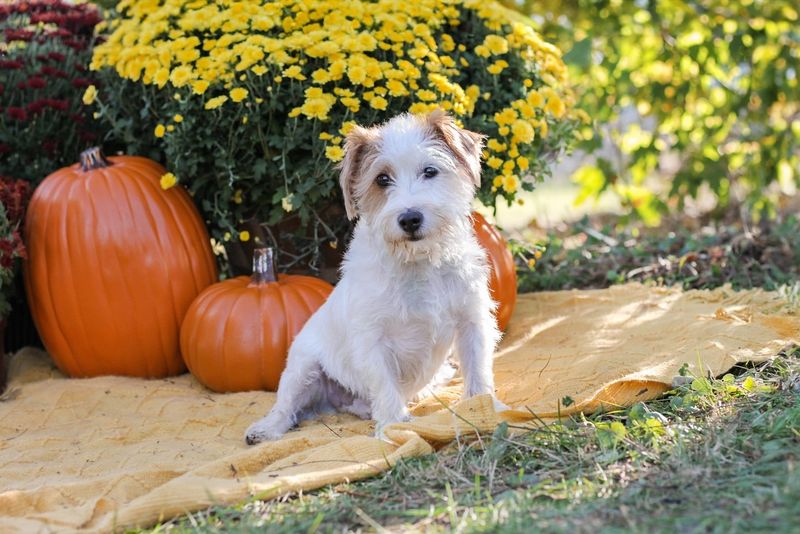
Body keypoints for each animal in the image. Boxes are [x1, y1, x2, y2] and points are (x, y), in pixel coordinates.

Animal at [247, 111, 504, 446]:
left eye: (430, 171)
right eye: (382, 179)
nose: (410, 218)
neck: (418, 261)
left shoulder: (472, 320)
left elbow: (477, 370)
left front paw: (483, 407)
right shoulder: (372, 339)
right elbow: (385, 385)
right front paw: (394, 427)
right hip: (302, 369)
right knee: (285, 409)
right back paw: (265, 429)